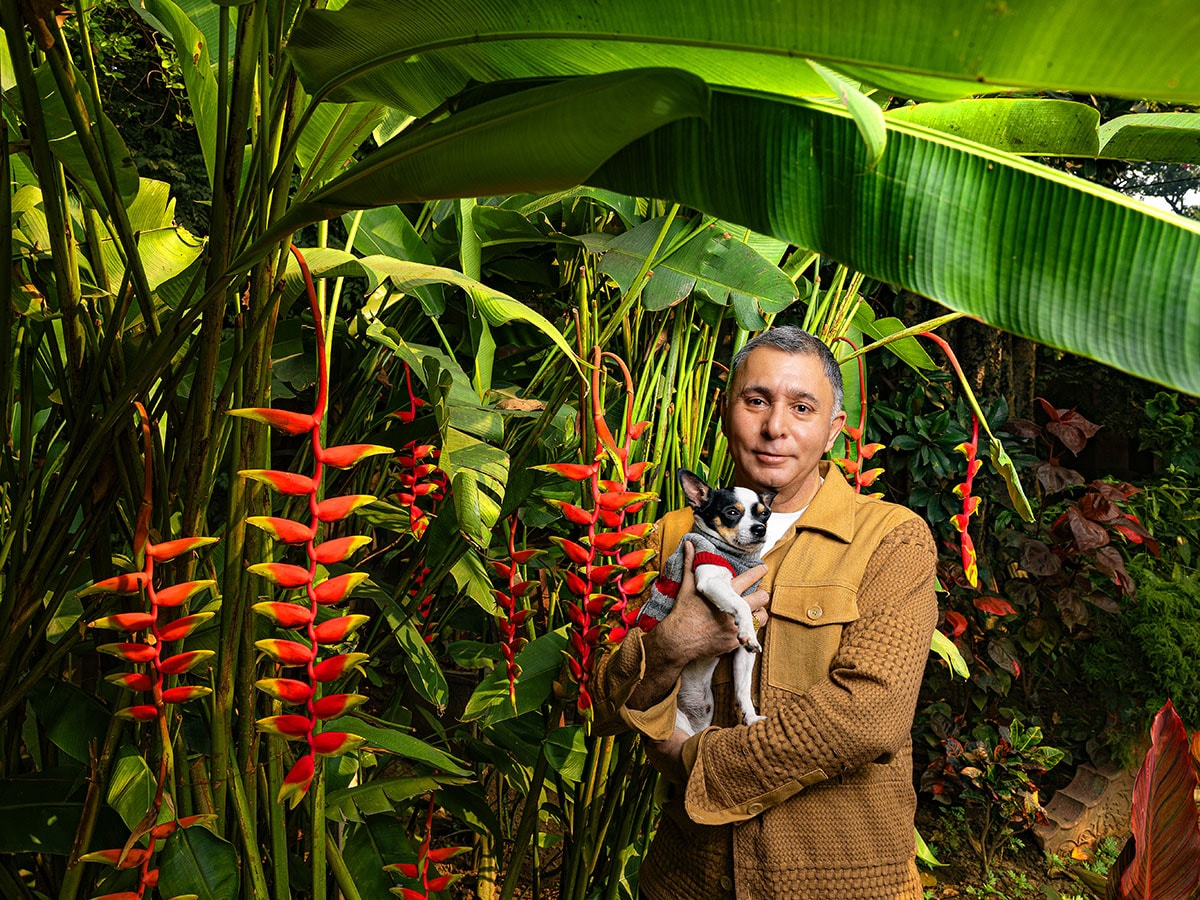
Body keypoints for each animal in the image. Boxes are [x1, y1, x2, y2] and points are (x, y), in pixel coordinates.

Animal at [638, 468, 777, 734]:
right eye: (732, 512)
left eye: (765, 514)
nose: (760, 529)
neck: (738, 558)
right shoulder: (711, 579)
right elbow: (742, 605)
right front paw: (746, 630)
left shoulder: (743, 655)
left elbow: (742, 688)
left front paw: (751, 718)